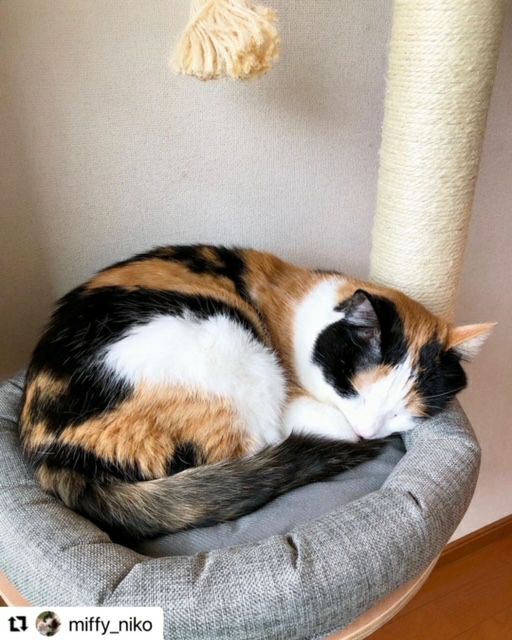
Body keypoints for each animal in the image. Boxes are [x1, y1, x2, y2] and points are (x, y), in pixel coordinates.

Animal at [20, 245, 493, 540]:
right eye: (352, 391)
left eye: (400, 411)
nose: (367, 432)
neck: (307, 306)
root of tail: (49, 452)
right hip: (227, 344)